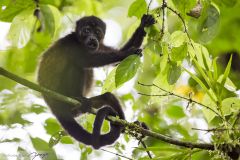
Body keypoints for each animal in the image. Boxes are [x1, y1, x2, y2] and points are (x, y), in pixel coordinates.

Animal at [36, 14, 155, 149]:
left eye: (97, 32)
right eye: (87, 30)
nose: (92, 38)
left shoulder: (100, 45)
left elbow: (116, 62)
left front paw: (143, 26)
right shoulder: (70, 43)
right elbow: (86, 60)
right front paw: (127, 53)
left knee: (108, 97)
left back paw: (125, 125)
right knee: (77, 66)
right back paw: (78, 98)